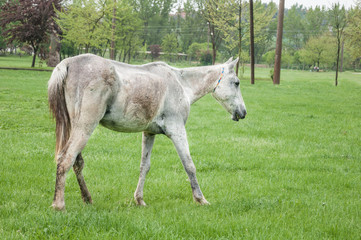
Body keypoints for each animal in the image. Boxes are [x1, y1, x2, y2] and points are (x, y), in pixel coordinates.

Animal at [47, 54, 245, 210]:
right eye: (236, 83)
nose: (243, 112)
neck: (181, 83)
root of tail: (68, 63)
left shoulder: (149, 133)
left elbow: (144, 166)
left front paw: (139, 199)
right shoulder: (177, 130)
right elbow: (189, 165)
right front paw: (200, 199)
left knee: (76, 162)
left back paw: (87, 198)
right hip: (85, 127)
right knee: (66, 159)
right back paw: (59, 205)